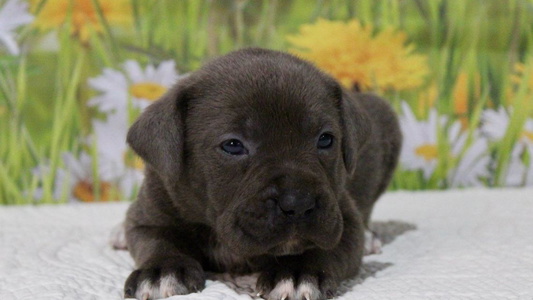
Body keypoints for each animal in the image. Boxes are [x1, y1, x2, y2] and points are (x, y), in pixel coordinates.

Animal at [122, 48, 402, 298]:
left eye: (325, 139)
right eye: (233, 145)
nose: (298, 203)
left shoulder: (343, 221)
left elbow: (327, 246)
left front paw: (297, 272)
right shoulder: (150, 213)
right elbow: (158, 239)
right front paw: (161, 271)